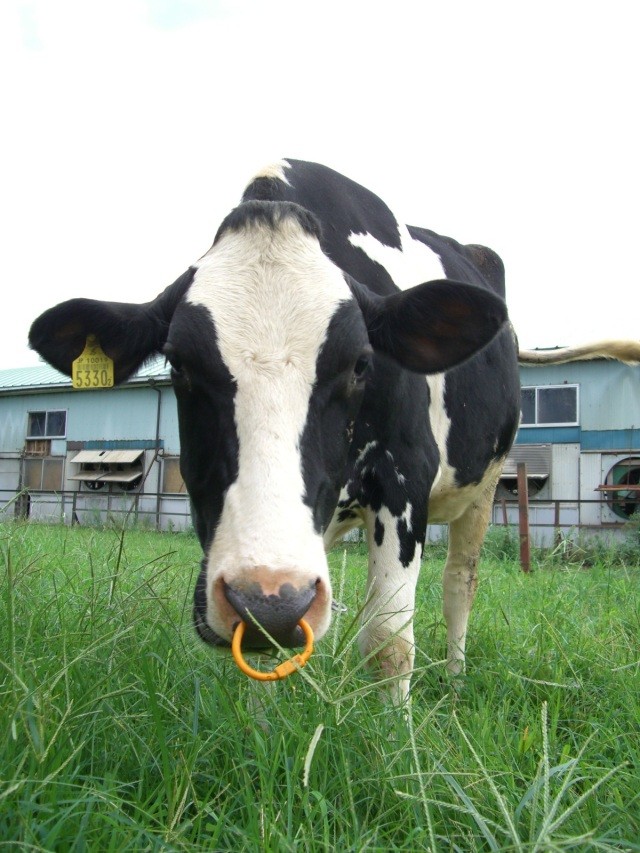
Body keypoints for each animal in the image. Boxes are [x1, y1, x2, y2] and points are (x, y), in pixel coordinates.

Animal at [28, 158, 640, 700]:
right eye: (178, 365)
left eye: (361, 363)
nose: (269, 598)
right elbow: (265, 647)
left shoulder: (403, 479)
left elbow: (389, 640)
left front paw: (397, 748)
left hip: (484, 487)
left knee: (458, 583)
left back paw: (455, 681)